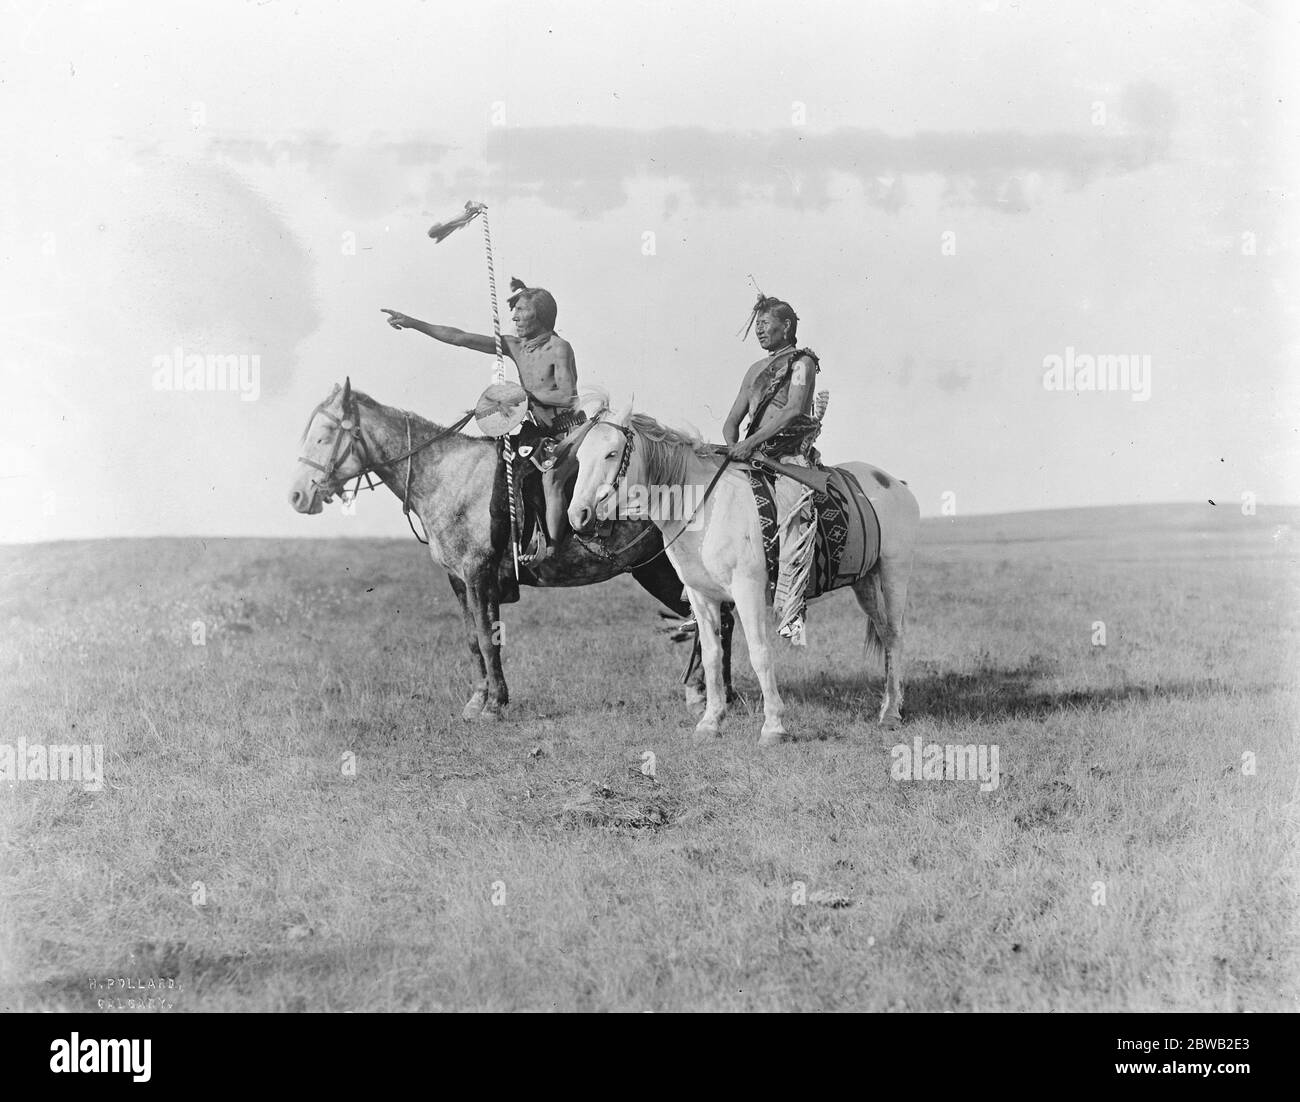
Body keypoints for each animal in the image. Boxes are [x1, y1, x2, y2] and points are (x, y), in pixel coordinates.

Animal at [564, 400, 920, 743]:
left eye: (611, 453)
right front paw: (710, 722)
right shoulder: (701, 595)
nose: (578, 515)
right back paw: (890, 704)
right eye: (579, 456)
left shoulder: (747, 590)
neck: (705, 509)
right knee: (885, 634)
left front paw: (773, 726)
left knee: (895, 635)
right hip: (865, 582)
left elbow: (759, 652)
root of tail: (896, 483)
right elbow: (711, 654)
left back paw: (891, 713)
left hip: (894, 573)